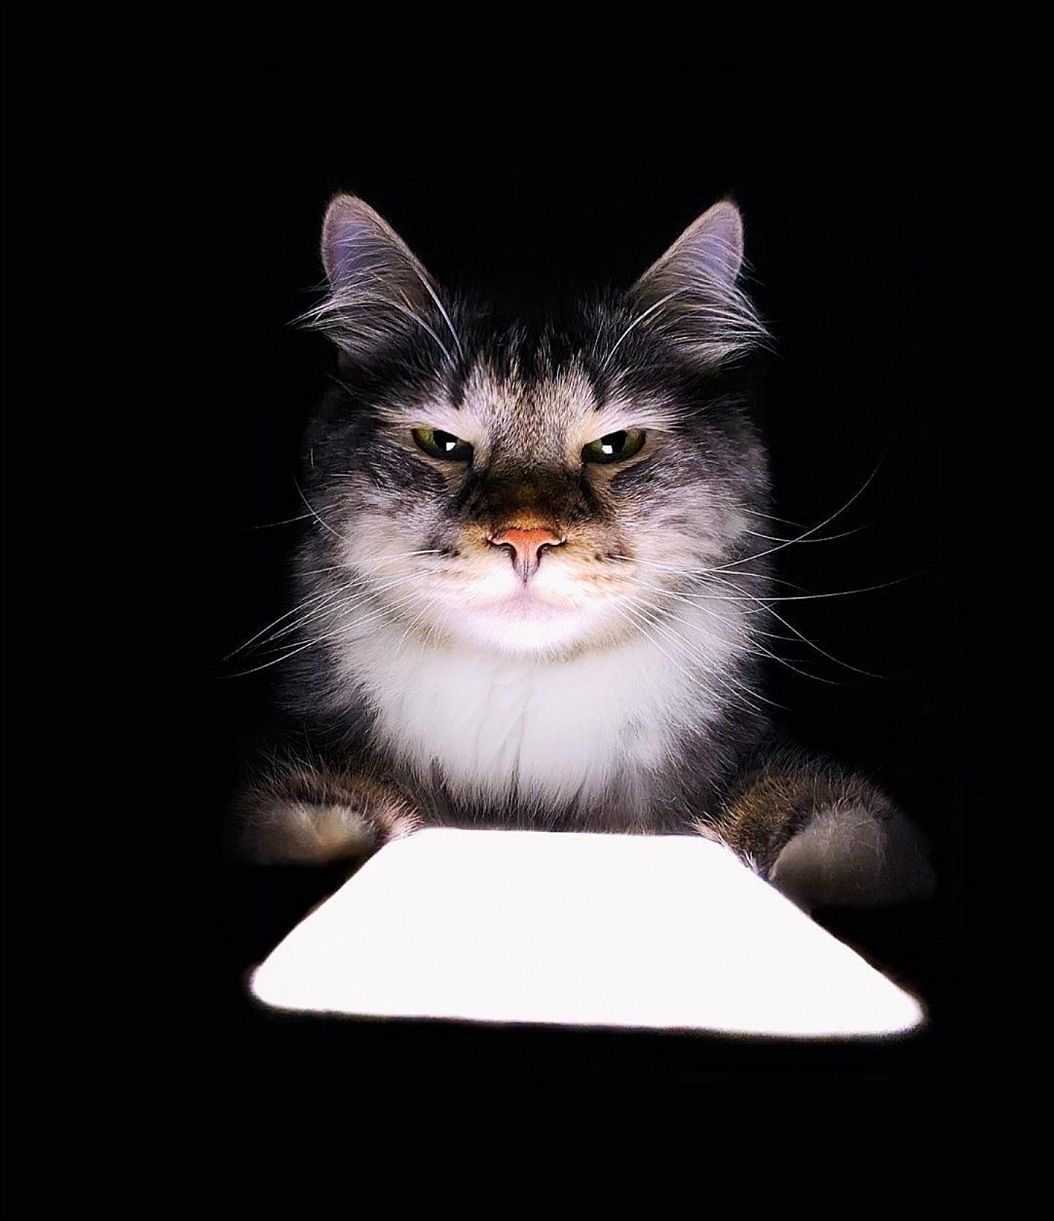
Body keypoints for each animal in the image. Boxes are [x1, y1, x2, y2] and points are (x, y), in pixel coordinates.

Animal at [234, 193, 935, 910]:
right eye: (442, 444)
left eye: (614, 446)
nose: (525, 537)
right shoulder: (295, 758)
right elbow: (298, 810)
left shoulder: (769, 765)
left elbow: (844, 825)